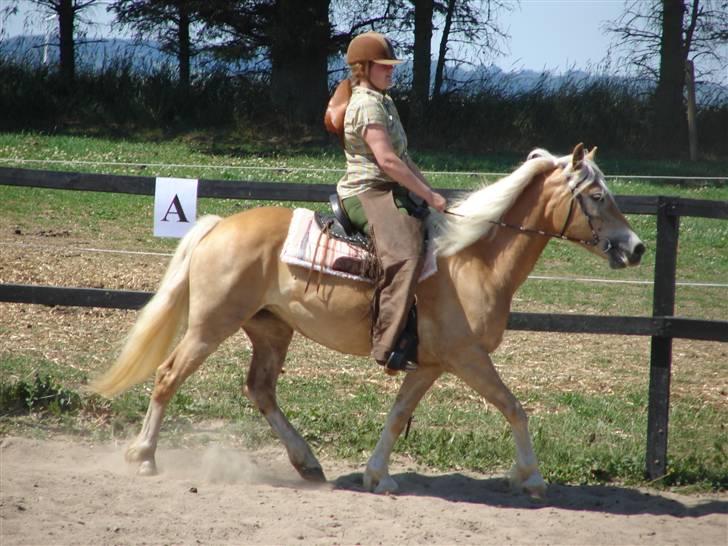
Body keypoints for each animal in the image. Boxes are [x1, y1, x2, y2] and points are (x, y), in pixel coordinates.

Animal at [89, 142, 644, 496]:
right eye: (597, 196)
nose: (636, 247)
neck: (472, 260)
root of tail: (220, 224)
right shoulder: (466, 357)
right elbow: (514, 407)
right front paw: (530, 476)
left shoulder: (429, 364)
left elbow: (398, 416)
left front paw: (377, 475)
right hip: (211, 326)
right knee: (168, 376)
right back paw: (144, 457)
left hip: (271, 329)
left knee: (260, 390)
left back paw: (308, 463)